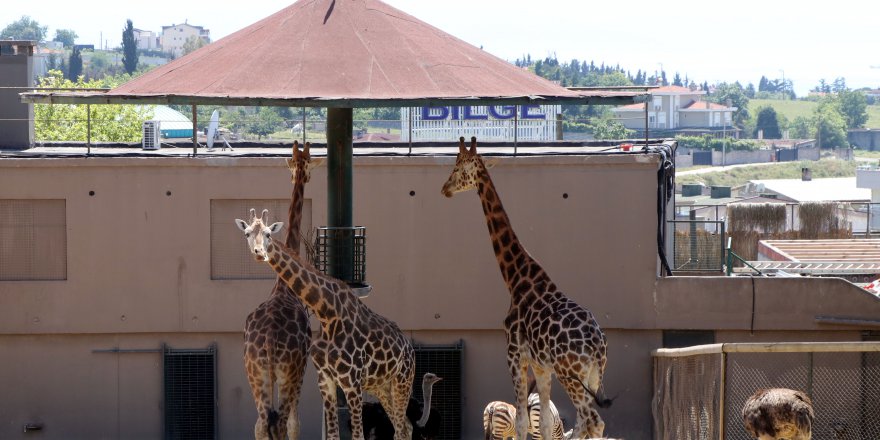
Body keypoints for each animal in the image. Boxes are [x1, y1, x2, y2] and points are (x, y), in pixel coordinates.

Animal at [235, 209, 418, 440]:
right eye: (247, 233)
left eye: (268, 233)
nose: (259, 253)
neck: (327, 313)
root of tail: (409, 347)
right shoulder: (326, 381)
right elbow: (332, 435)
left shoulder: (351, 382)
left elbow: (358, 435)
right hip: (382, 386)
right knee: (404, 427)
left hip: (403, 380)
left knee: (403, 428)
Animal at [440, 137, 612, 440]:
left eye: (458, 166)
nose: (445, 188)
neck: (516, 278)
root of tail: (596, 343)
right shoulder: (541, 366)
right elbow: (542, 424)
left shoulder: (514, 355)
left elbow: (521, 422)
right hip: (592, 375)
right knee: (587, 421)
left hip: (571, 374)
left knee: (592, 421)